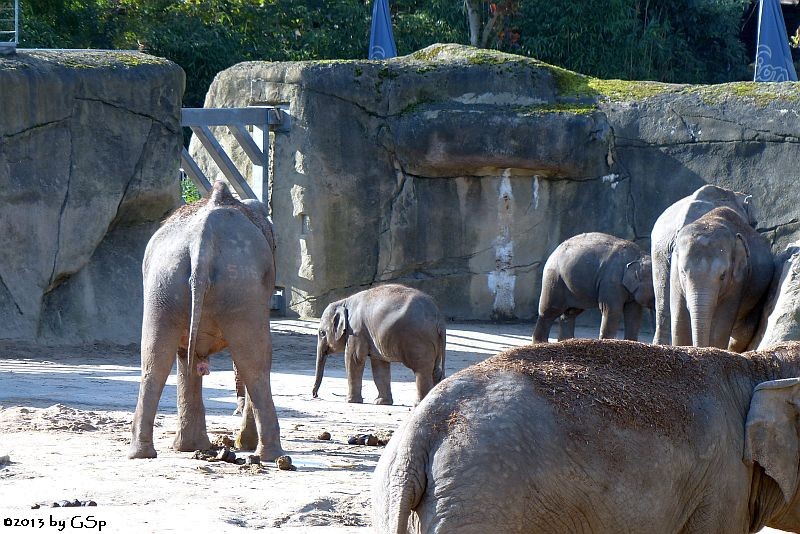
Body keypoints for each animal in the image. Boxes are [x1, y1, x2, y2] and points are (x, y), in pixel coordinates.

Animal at [129, 182, 284, 462]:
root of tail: (201, 241)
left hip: (164, 285)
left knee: (154, 359)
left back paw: (146, 453)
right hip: (240, 285)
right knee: (255, 362)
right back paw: (267, 454)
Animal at [312, 284, 446, 406]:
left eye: (322, 333)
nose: (315, 395)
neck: (344, 302)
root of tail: (439, 317)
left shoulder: (356, 331)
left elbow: (354, 359)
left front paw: (349, 401)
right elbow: (379, 365)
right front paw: (381, 402)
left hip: (417, 339)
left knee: (421, 369)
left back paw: (418, 404)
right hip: (434, 342)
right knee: (434, 369)